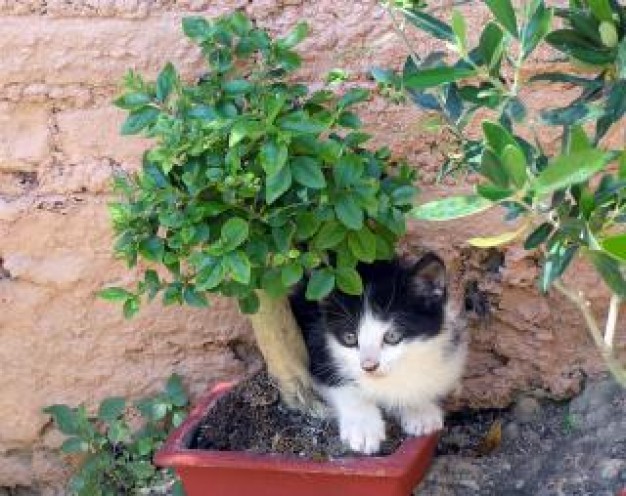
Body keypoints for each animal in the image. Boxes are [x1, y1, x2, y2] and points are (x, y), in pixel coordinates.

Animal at [288, 254, 464, 456]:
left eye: (392, 336)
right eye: (350, 338)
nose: (369, 366)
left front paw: (419, 408)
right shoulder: (316, 346)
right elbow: (340, 383)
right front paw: (363, 427)